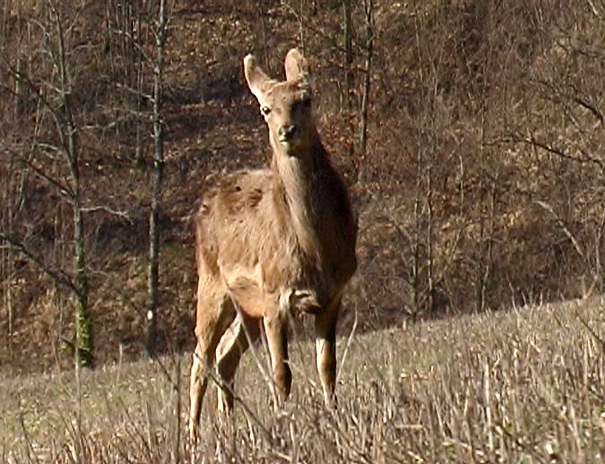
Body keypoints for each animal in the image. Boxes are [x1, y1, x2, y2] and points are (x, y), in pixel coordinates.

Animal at [188, 49, 358, 440]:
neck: (314, 251)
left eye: (305, 99)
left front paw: (335, 417)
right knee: (200, 359)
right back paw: (191, 436)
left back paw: (227, 428)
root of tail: (204, 201)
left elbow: (327, 366)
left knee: (225, 357)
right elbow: (282, 373)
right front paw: (285, 423)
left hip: (246, 306)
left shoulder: (333, 294)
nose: (287, 131)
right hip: (212, 286)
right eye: (266, 108)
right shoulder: (275, 294)